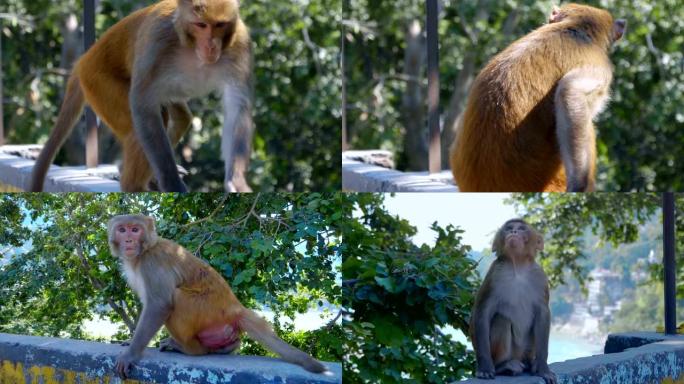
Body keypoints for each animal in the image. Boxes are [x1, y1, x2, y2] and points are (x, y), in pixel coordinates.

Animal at [30, 0, 254, 192]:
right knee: (138, 126)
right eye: (201, 25)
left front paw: (236, 181)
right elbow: (142, 104)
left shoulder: (239, 43)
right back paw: (132, 185)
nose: (211, 45)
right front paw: (172, 184)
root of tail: (82, 61)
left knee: (179, 117)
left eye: (220, 25)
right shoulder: (159, 42)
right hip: (96, 80)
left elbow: (237, 108)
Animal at [107, 214, 328, 380]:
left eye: (135, 230)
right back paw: (226, 347)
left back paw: (187, 349)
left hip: (205, 310)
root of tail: (235, 308)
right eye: (122, 230)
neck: (145, 250)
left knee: (177, 297)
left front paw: (131, 354)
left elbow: (159, 305)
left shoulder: (152, 262)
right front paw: (130, 340)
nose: (128, 240)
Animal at [470, 219, 556, 384]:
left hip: (527, 350)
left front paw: (543, 368)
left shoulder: (540, 277)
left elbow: (543, 314)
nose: (513, 232)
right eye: (509, 228)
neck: (518, 267)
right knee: (502, 320)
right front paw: (485, 368)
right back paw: (503, 366)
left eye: (521, 229)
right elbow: (482, 312)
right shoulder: (494, 274)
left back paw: (532, 363)